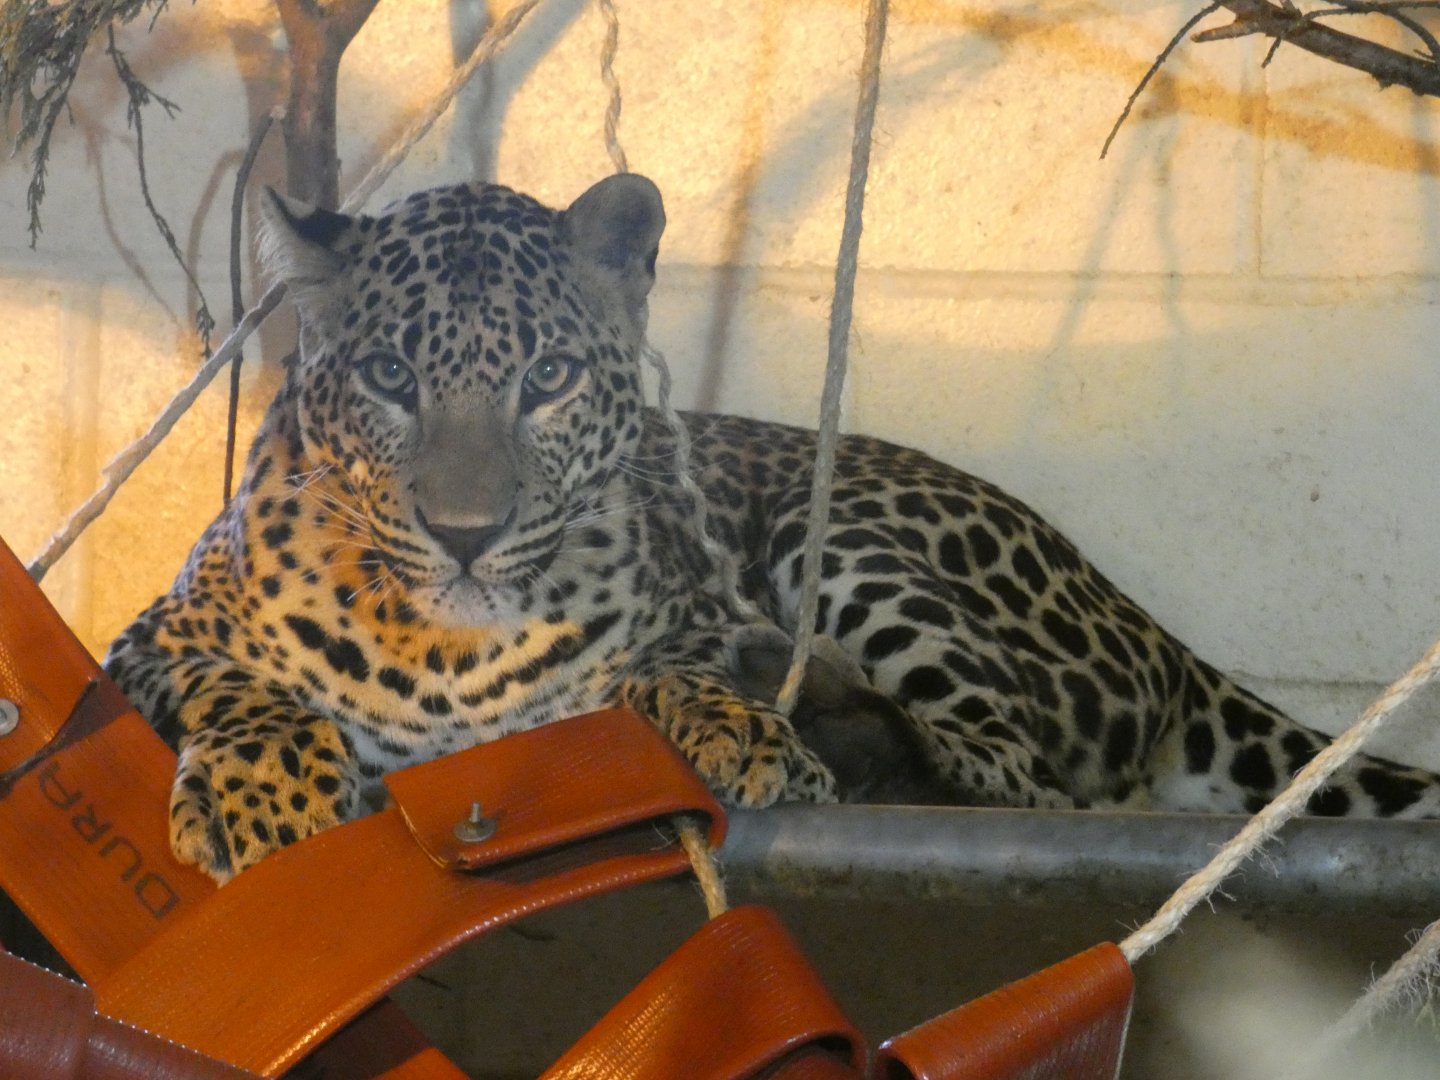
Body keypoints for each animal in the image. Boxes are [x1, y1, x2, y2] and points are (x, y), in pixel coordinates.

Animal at [104, 173, 1440, 882]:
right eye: (388, 375)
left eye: (546, 380)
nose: (468, 534)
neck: (446, 653)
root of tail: (1154, 628)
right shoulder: (148, 636)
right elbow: (248, 689)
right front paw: (262, 798)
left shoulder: (684, 614)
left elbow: (665, 669)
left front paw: (741, 726)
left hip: (831, 526)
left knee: (1027, 778)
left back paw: (830, 715)